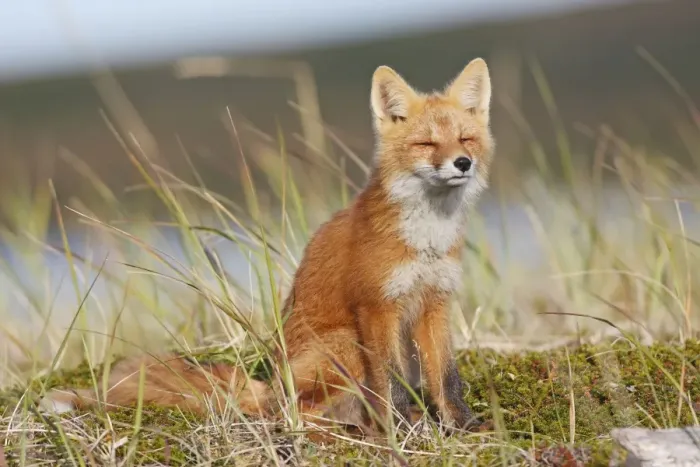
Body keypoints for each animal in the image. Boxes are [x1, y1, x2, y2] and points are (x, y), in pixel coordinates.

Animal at [40, 57, 495, 434]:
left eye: (466, 139)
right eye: (426, 144)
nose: (463, 164)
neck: (427, 239)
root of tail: (269, 384)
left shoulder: (435, 302)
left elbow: (447, 379)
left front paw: (462, 425)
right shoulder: (377, 307)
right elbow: (392, 383)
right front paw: (403, 431)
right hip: (344, 345)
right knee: (293, 412)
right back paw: (348, 429)